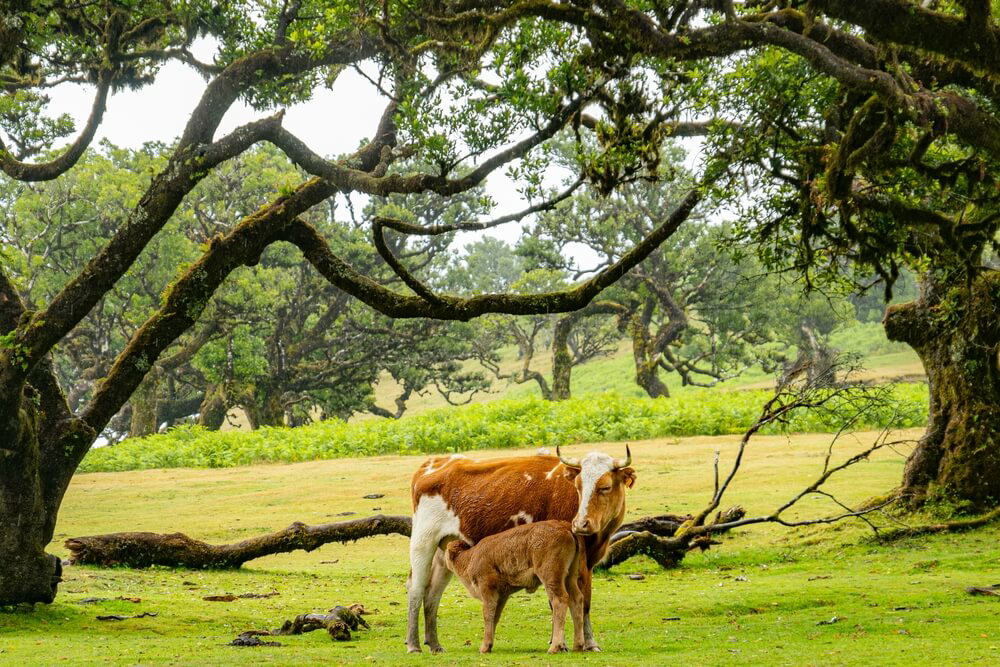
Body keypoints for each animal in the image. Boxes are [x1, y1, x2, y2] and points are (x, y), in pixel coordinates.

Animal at [444, 520, 584, 656]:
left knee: (559, 600)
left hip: (550, 577)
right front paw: (489, 645)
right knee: (576, 599)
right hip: (569, 577)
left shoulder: (487, 589)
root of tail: (565, 527)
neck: (470, 556)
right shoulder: (501, 596)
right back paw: (578, 645)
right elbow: (495, 616)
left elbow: (488, 614)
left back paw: (554, 647)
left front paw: (484, 647)